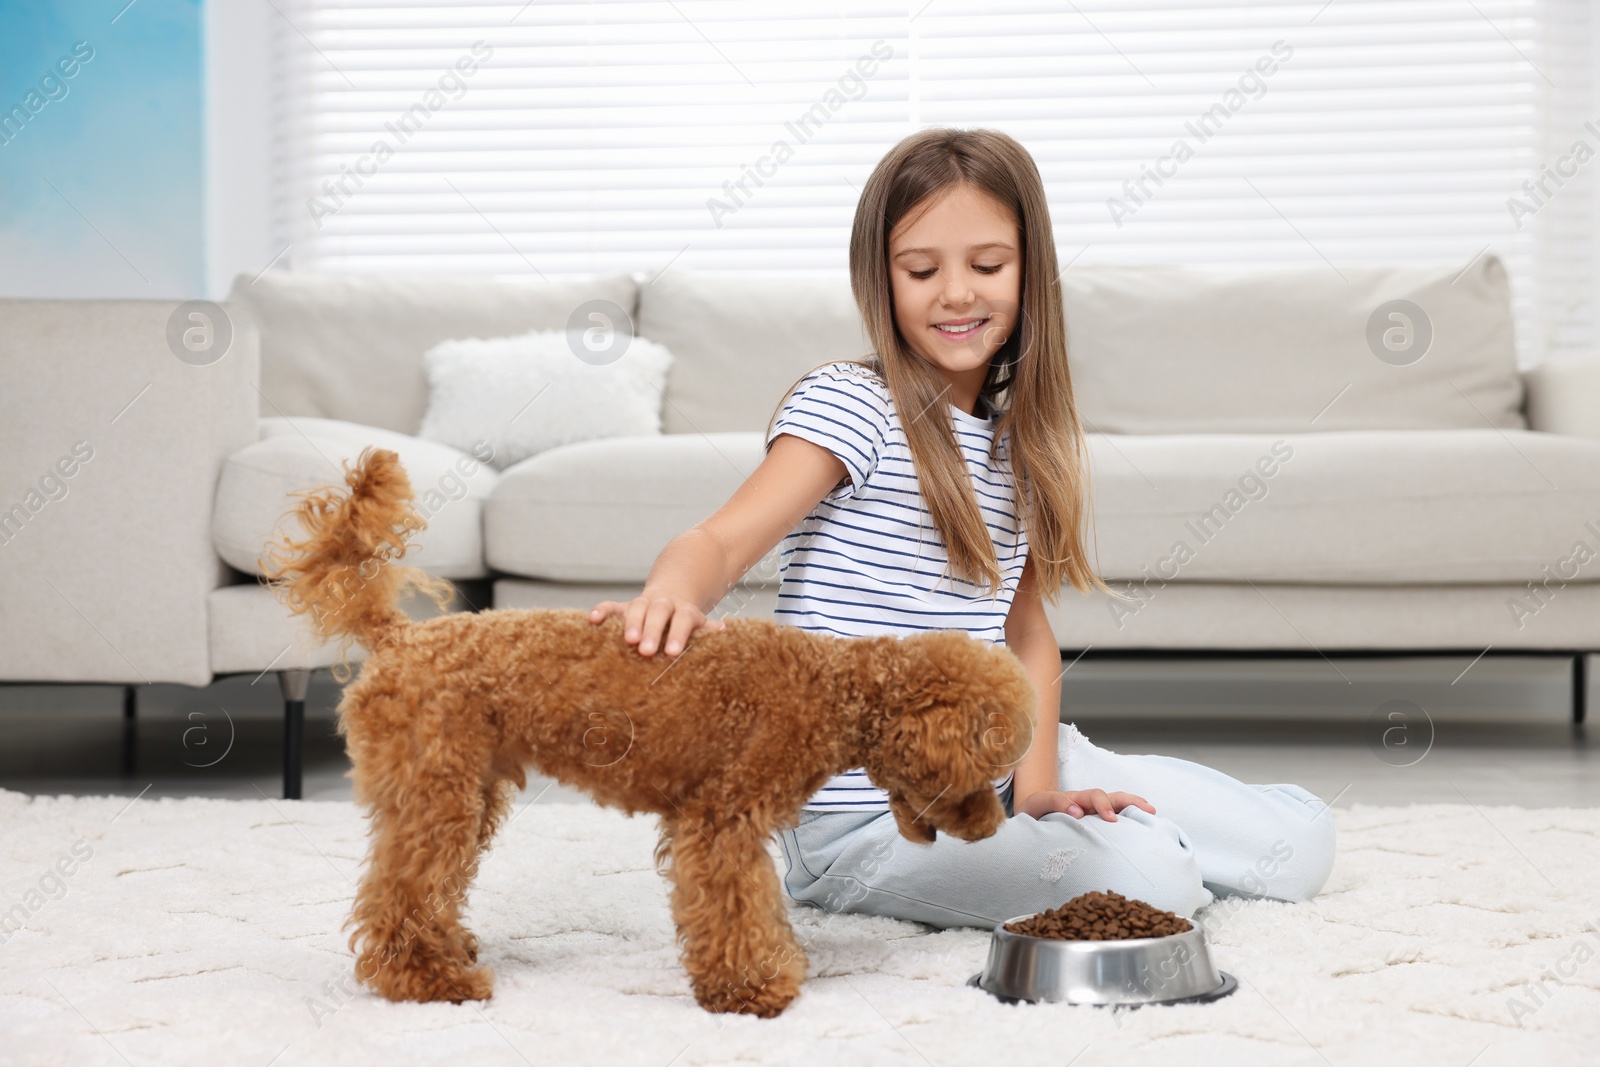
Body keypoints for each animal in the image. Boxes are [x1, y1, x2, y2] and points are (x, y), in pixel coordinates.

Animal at [262, 444, 1036, 1017]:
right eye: (981, 769)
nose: (994, 826)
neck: (832, 688)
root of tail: (398, 637)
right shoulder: (721, 820)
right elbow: (735, 907)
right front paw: (753, 989)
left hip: (467, 791)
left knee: (428, 886)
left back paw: (451, 951)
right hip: (435, 792)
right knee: (400, 892)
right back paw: (429, 980)